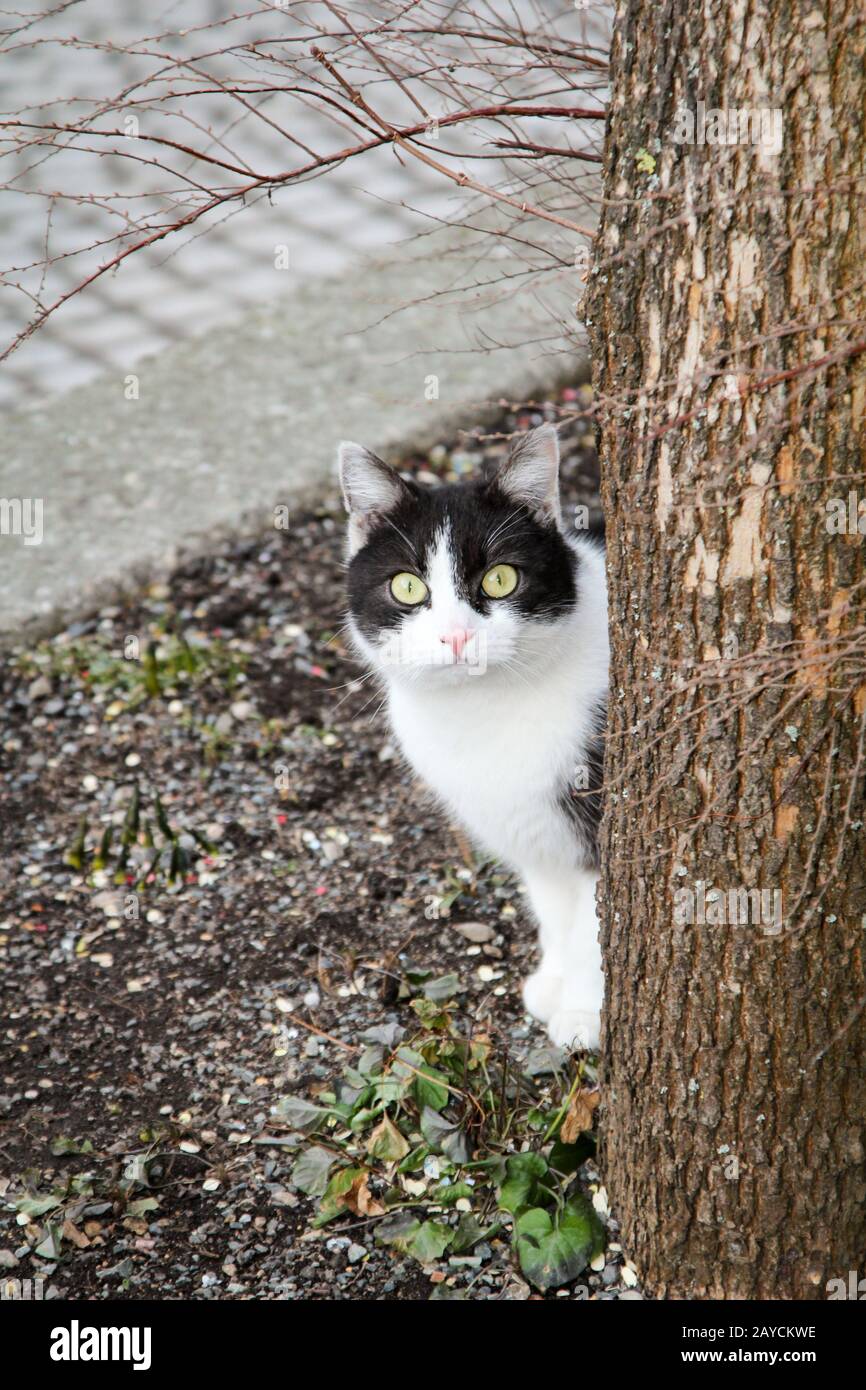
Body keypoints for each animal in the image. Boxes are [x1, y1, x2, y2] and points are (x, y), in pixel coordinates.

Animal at [339, 428, 608, 1045]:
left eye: (500, 578)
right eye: (407, 586)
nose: (457, 636)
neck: (483, 711)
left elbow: (590, 929)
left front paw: (584, 1015)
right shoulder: (530, 833)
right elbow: (555, 912)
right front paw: (554, 984)